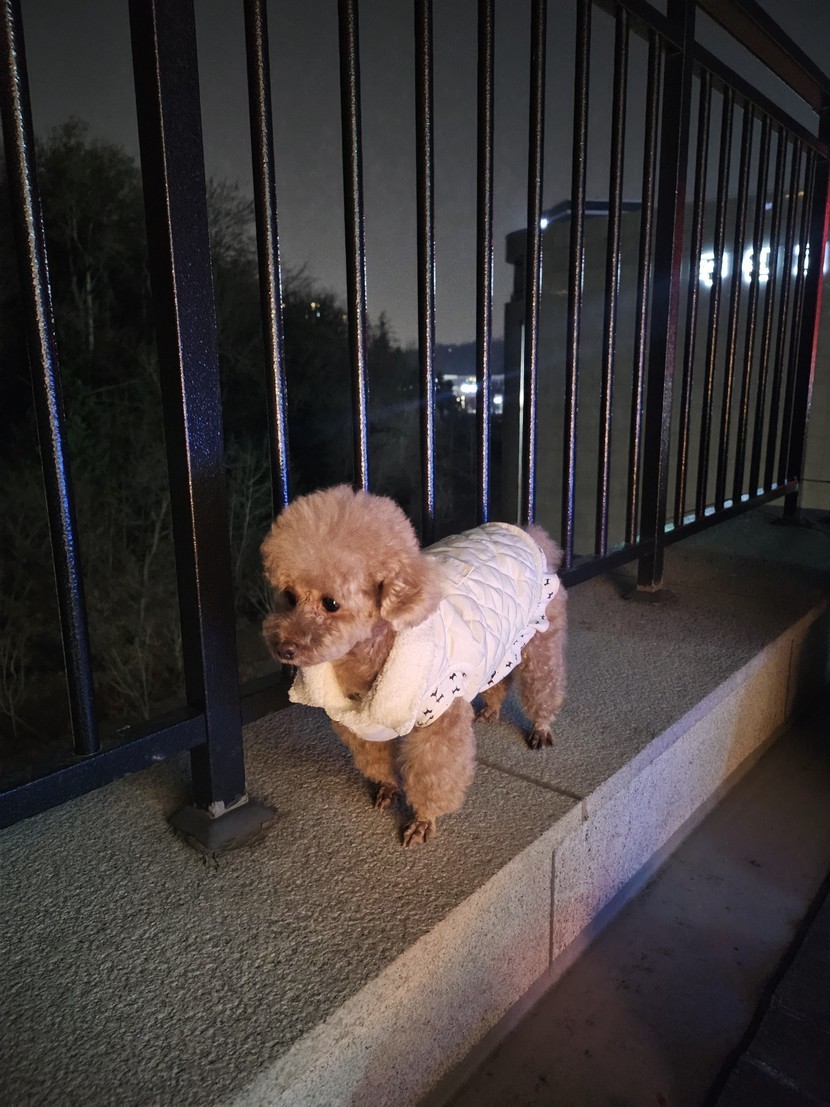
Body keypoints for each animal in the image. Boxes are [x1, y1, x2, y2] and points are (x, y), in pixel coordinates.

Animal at [261, 485, 567, 846]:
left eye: (331, 603)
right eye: (289, 596)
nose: (284, 648)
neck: (368, 656)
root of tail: (528, 534)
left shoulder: (438, 717)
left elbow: (433, 774)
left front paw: (423, 820)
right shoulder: (362, 722)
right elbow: (376, 758)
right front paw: (387, 788)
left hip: (543, 633)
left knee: (544, 682)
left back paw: (541, 726)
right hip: (498, 643)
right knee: (499, 677)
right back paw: (492, 709)